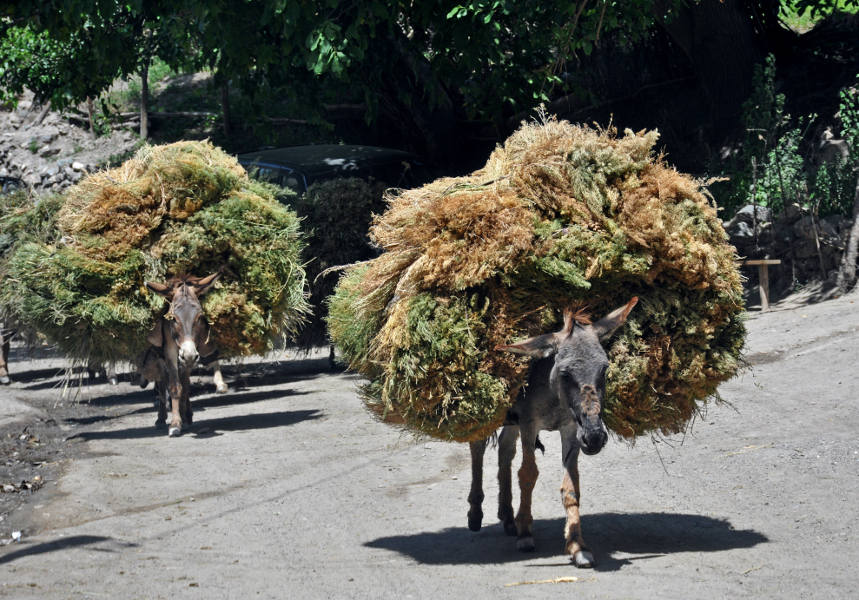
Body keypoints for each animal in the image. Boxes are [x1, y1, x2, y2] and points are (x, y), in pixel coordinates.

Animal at [139, 272, 221, 437]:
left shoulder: (191, 354)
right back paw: (161, 418)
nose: (188, 354)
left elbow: (185, 386)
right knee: (162, 383)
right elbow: (175, 387)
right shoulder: (170, 351)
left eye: (199, 317)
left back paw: (186, 414)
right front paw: (175, 424)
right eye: (174, 319)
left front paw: (184, 416)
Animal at [466, 297, 638, 567]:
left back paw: (507, 516)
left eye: (604, 369)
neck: (555, 397)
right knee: (478, 447)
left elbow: (571, 485)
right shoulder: (528, 424)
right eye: (566, 373)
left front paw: (577, 545)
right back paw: (476, 513)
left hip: (514, 422)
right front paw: (526, 533)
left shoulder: (570, 429)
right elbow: (527, 474)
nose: (594, 438)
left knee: (505, 449)